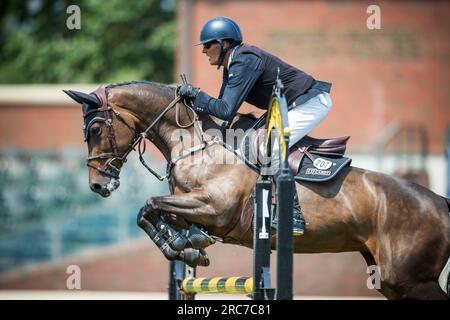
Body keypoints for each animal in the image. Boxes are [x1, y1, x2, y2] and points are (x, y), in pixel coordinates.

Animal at [64, 80, 450, 300]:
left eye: (95, 129)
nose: (98, 184)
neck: (194, 142)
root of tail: (441, 203)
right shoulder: (189, 205)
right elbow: (151, 211)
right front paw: (184, 245)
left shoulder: (214, 207)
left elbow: (150, 204)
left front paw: (184, 243)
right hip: (390, 281)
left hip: (411, 280)